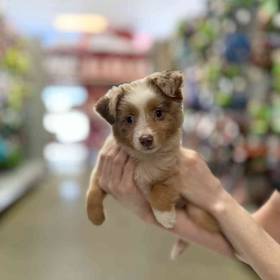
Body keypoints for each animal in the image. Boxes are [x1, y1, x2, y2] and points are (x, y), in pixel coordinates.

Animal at [85, 71, 219, 258]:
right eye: (129, 119)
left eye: (159, 113)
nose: (146, 139)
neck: (144, 158)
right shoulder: (100, 171)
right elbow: (92, 191)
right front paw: (95, 217)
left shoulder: (175, 175)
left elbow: (159, 190)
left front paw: (165, 216)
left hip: (199, 213)